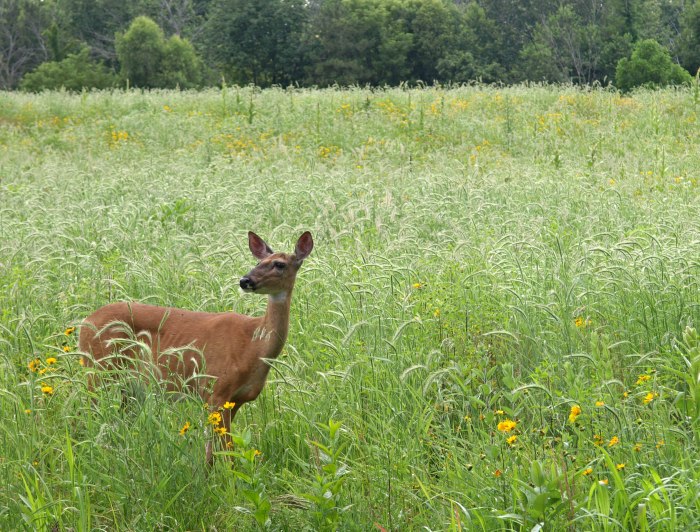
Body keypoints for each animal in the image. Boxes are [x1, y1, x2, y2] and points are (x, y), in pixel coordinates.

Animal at [79, 231, 314, 463]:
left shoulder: (236, 400)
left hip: (131, 386)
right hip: (98, 370)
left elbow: (216, 451)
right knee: (86, 416)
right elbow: (223, 452)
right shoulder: (216, 390)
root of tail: (84, 323)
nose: (245, 280)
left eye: (279, 264)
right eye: (258, 261)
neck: (253, 347)